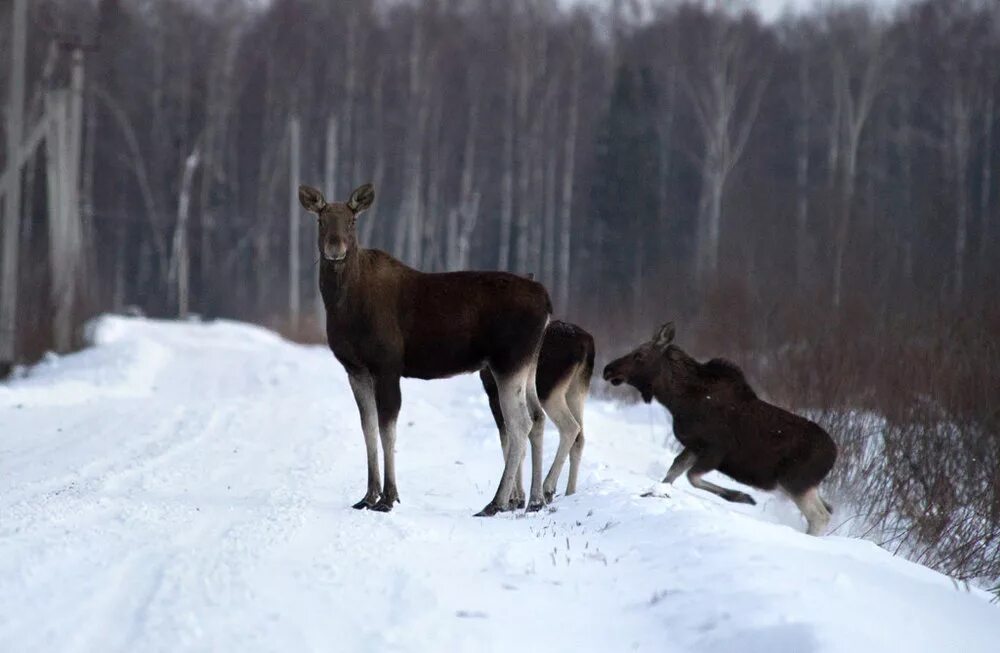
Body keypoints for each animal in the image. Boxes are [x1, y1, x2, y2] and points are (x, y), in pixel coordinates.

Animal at [298, 182, 556, 516]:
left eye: (352, 221)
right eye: (321, 220)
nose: (335, 247)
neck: (342, 306)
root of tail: (546, 301)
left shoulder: (387, 365)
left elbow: (387, 429)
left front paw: (389, 497)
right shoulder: (356, 369)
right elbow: (368, 428)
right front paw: (368, 495)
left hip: (507, 363)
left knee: (519, 424)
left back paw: (496, 502)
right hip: (526, 365)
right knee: (537, 417)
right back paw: (534, 500)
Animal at [478, 320, 592, 504]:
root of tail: (587, 345)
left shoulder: (494, 393)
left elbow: (508, 439)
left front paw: (513, 498)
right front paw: (518, 496)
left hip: (548, 389)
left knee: (570, 427)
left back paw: (548, 487)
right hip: (577, 390)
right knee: (580, 437)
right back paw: (570, 492)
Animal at [600, 322, 836, 536]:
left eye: (639, 355)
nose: (607, 369)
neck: (676, 401)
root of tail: (833, 456)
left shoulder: (714, 450)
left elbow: (692, 477)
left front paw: (742, 496)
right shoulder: (693, 446)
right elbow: (672, 473)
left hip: (795, 483)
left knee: (820, 516)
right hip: (803, 485)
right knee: (827, 509)